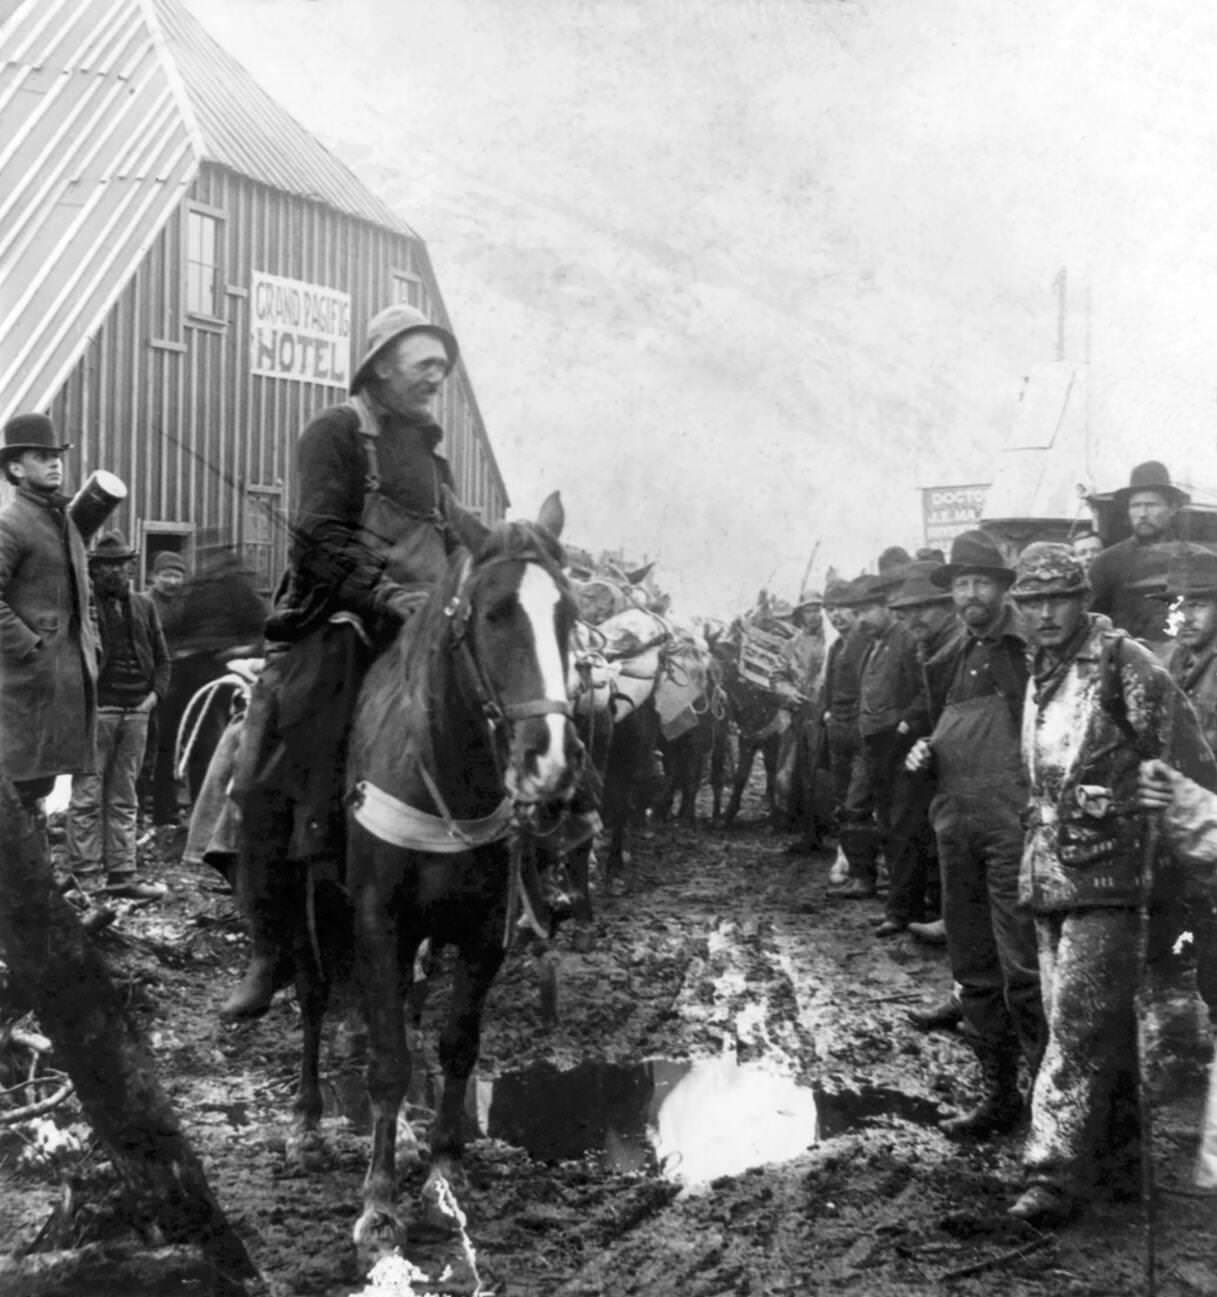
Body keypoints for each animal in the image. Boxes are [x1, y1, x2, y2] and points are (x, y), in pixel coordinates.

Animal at [291, 492, 581, 1255]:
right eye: (494, 613)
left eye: (568, 614)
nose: (551, 762)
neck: (447, 774)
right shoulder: (375, 919)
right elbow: (389, 1059)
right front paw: (378, 1203)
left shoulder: (484, 933)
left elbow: (455, 1046)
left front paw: (443, 1175)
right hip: (308, 900)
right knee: (312, 995)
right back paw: (304, 1119)